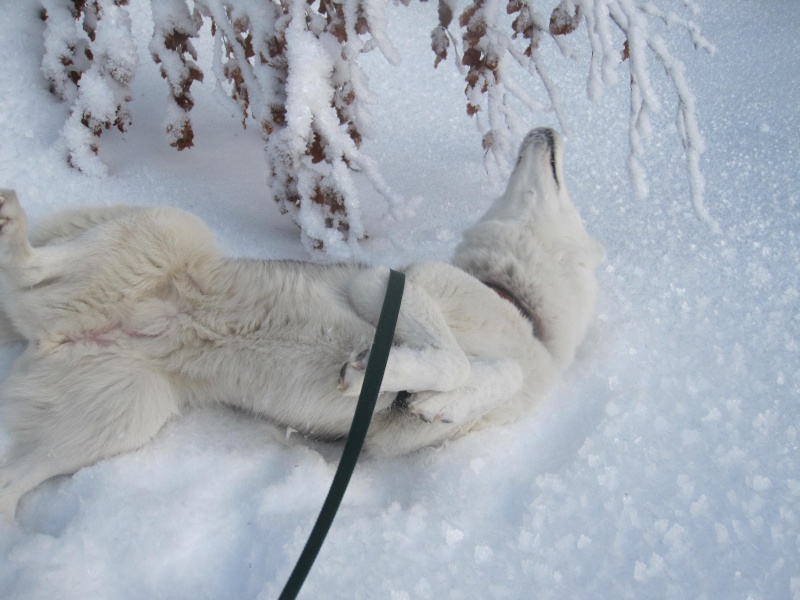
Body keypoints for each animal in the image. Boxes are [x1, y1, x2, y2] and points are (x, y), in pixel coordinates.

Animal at [0, 129, 604, 516]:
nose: (547, 127)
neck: (523, 311)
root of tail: (54, 334)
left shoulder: (395, 440)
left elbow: (490, 375)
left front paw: (442, 402)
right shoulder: (390, 285)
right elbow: (455, 359)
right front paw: (381, 371)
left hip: (118, 418)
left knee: (10, 480)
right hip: (166, 232)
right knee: (28, 268)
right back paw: (12, 222)